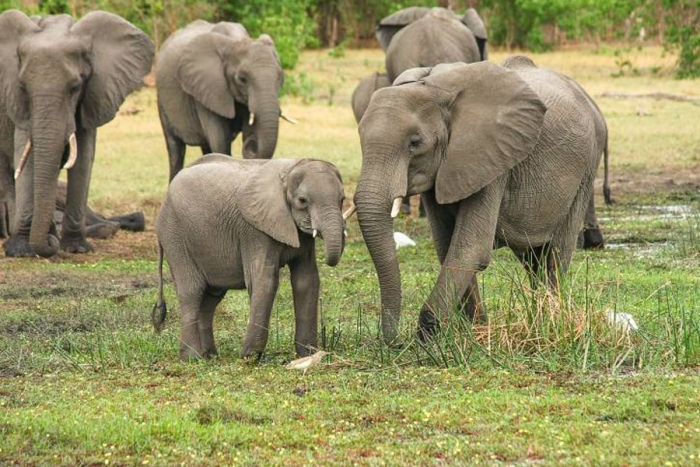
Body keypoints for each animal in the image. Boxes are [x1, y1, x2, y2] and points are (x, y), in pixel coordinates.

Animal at [0, 10, 154, 260]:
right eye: (23, 88)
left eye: (75, 87)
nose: (50, 245)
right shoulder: (16, 102)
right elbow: (26, 157)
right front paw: (21, 251)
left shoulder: (93, 94)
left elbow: (83, 159)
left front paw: (76, 248)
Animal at [155, 155, 348, 360]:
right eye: (302, 200)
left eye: (342, 199)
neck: (289, 170)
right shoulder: (255, 230)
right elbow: (265, 280)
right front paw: (250, 357)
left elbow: (306, 280)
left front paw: (308, 355)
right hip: (175, 237)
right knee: (191, 291)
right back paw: (192, 357)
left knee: (211, 298)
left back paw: (210, 356)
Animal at [157, 20, 284, 181]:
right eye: (242, 79)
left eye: (280, 77)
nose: (252, 143)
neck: (236, 41)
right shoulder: (206, 89)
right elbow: (220, 141)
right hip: (162, 100)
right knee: (175, 150)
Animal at [356, 57, 608, 344]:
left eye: (415, 143)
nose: (393, 342)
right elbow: (447, 246)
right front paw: (476, 331)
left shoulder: (493, 160)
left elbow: (471, 248)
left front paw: (427, 338)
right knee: (533, 258)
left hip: (586, 168)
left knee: (556, 253)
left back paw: (550, 321)